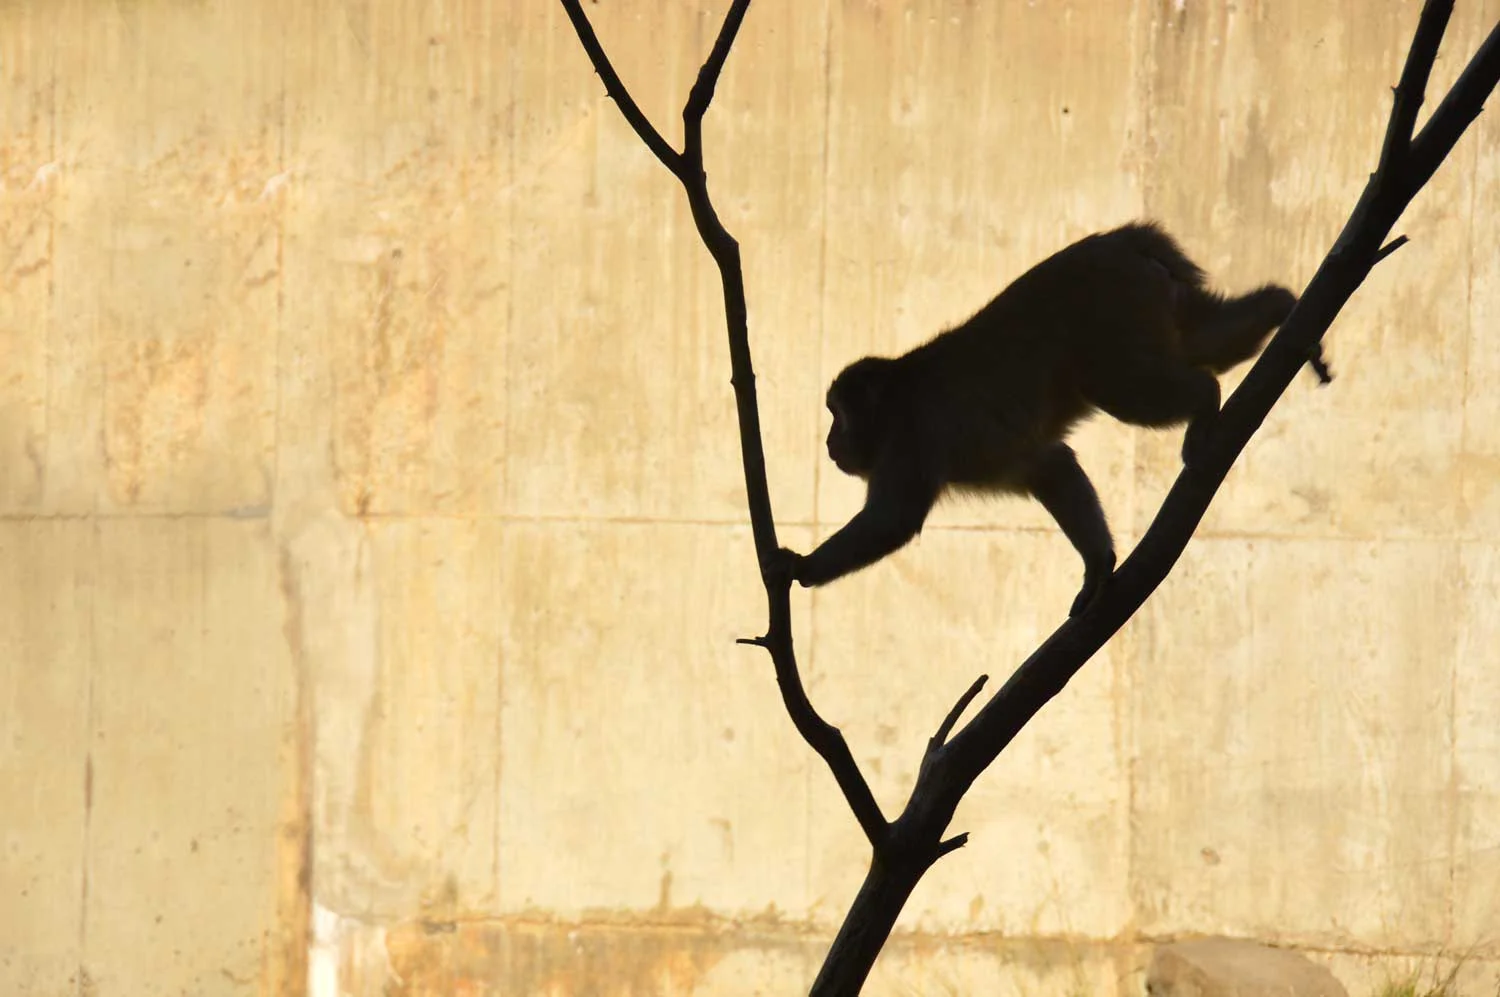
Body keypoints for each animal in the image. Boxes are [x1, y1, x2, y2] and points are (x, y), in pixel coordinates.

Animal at [777, 222, 1297, 616]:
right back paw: (1283, 310)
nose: (829, 442)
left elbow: (893, 520)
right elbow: (1050, 466)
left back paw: (1208, 399)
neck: (895, 400)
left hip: (1113, 309)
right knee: (1199, 339)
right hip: (1151, 299)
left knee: (1123, 387)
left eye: (837, 417)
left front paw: (801, 568)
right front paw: (1099, 565)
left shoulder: (910, 436)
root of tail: (1121, 243)